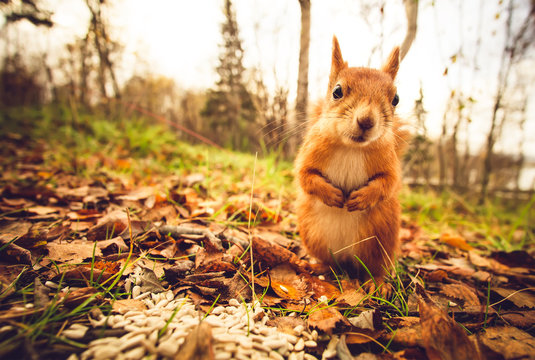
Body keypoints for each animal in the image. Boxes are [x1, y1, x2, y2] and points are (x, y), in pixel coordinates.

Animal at [296, 35, 408, 296]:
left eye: (396, 99)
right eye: (337, 91)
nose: (366, 121)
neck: (351, 147)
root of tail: (345, 258)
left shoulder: (389, 165)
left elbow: (388, 183)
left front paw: (363, 197)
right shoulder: (308, 154)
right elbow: (305, 176)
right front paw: (332, 195)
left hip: (380, 239)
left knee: (374, 268)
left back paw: (377, 283)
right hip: (313, 234)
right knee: (328, 261)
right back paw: (318, 266)